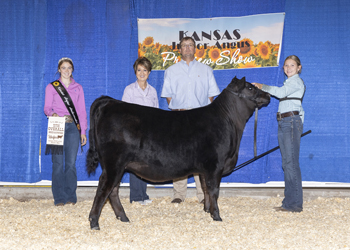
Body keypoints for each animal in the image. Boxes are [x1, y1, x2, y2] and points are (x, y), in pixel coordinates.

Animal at [86, 76, 270, 230]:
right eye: (250, 87)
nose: (268, 95)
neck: (229, 122)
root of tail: (110, 102)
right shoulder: (215, 165)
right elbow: (214, 191)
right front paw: (217, 216)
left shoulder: (204, 169)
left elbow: (205, 189)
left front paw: (207, 211)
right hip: (113, 164)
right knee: (104, 188)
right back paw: (94, 223)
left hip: (119, 166)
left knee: (113, 191)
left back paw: (123, 217)